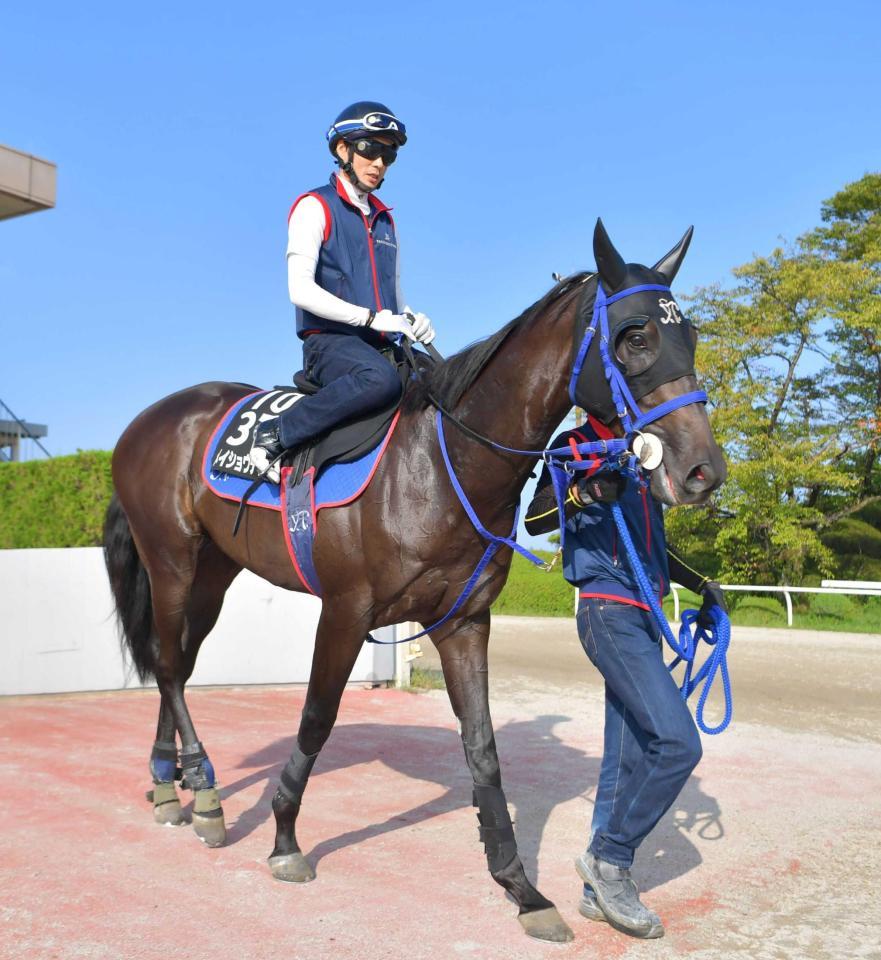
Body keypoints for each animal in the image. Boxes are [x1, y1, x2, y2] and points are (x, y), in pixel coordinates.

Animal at [105, 219, 720, 944]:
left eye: (690, 336)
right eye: (633, 336)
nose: (703, 469)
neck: (437, 463)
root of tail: (145, 422)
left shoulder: (464, 622)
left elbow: (483, 750)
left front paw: (521, 888)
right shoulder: (344, 613)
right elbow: (316, 719)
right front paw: (285, 838)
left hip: (212, 575)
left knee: (174, 663)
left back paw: (168, 784)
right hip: (171, 560)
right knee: (170, 666)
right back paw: (203, 792)